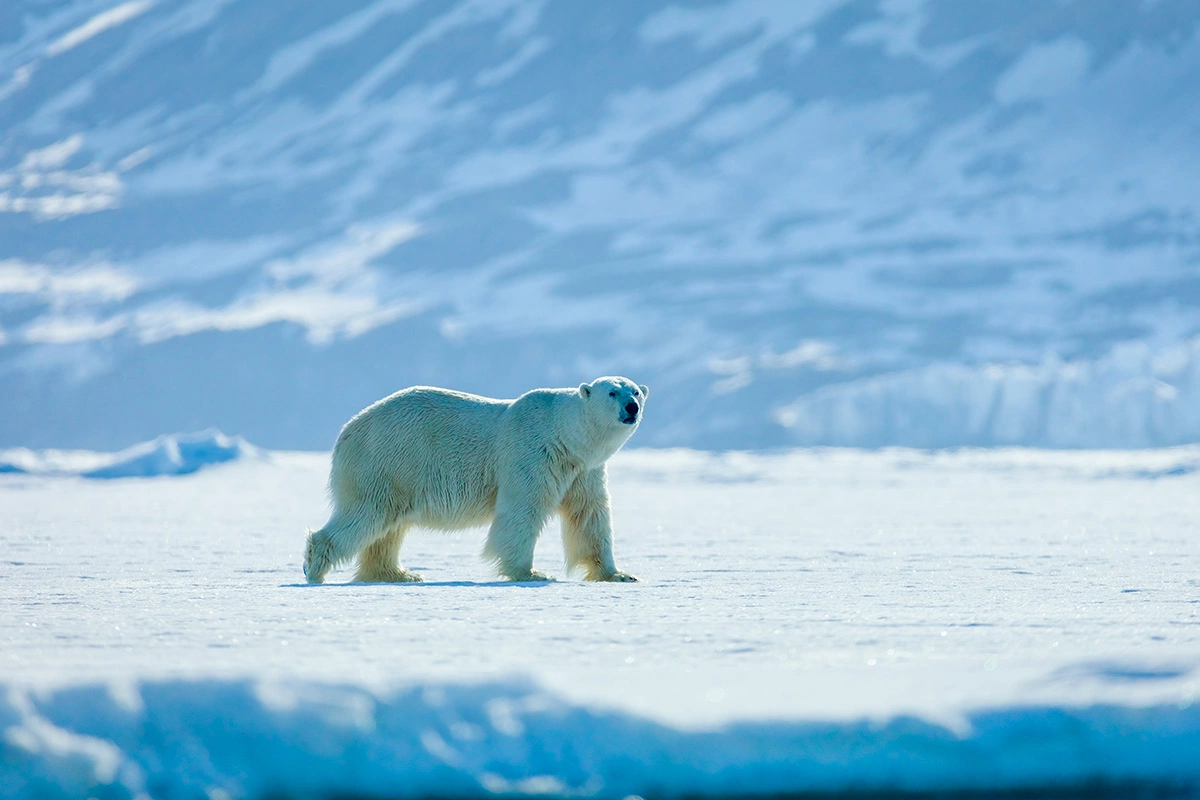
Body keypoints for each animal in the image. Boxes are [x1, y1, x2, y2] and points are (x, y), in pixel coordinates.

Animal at [304, 379, 652, 585]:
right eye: (612, 392)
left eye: (635, 390)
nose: (631, 407)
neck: (563, 435)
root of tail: (348, 430)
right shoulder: (531, 455)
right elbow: (522, 511)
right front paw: (530, 572)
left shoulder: (584, 471)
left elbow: (590, 516)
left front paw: (618, 575)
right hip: (388, 462)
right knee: (367, 514)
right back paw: (315, 567)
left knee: (389, 528)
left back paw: (398, 574)